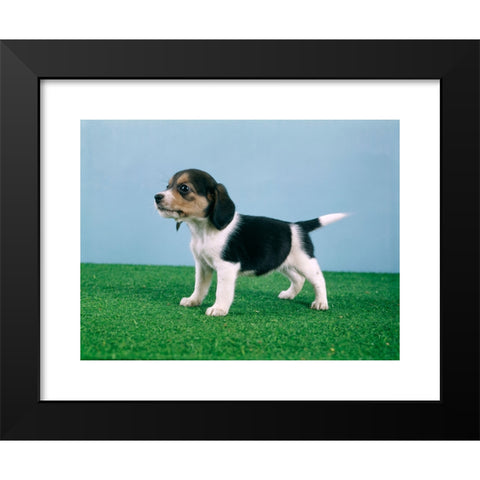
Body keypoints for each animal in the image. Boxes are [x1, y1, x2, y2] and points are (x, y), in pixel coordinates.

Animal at [156, 167, 346, 316]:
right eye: (167, 186)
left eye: (183, 188)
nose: (157, 197)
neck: (203, 231)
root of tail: (298, 226)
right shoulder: (202, 265)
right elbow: (200, 286)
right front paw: (193, 301)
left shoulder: (227, 267)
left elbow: (222, 291)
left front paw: (219, 309)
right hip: (283, 263)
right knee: (298, 279)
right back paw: (288, 295)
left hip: (305, 262)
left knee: (319, 280)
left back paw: (321, 303)